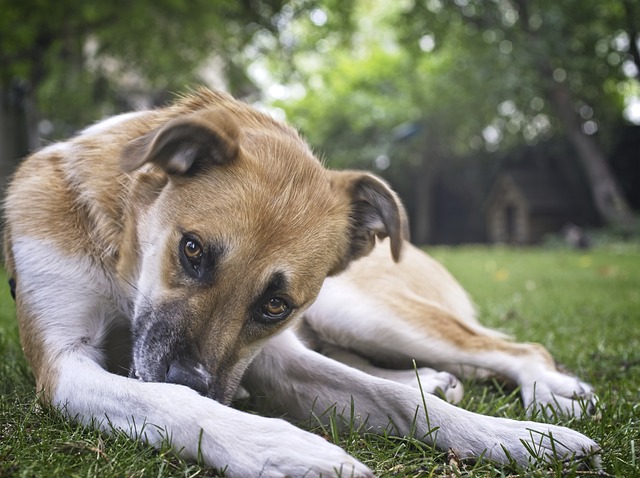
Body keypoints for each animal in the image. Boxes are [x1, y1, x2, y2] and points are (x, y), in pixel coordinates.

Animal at [2, 88, 596, 474]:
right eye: (191, 251)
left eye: (275, 305)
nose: (197, 380)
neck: (119, 257)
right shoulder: (64, 364)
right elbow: (170, 402)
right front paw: (281, 447)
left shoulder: (271, 355)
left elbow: (395, 401)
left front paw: (518, 438)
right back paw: (434, 378)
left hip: (359, 312)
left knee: (513, 348)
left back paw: (550, 394)